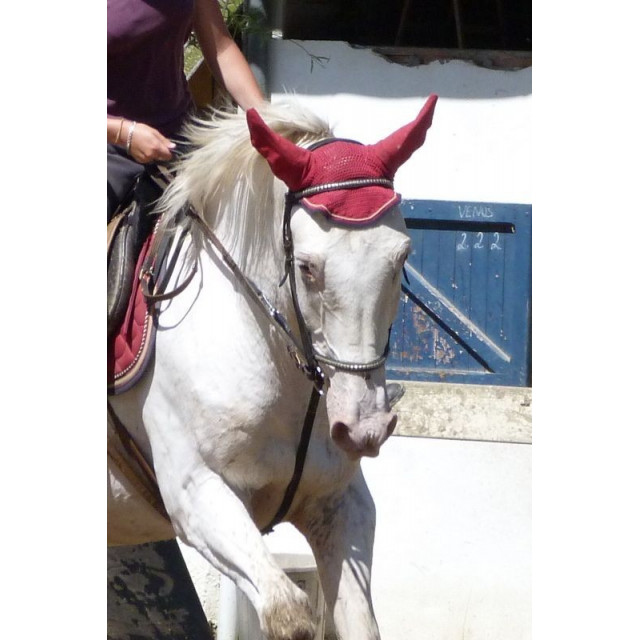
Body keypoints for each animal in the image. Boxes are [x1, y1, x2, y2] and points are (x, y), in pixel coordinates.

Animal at [107, 95, 438, 640]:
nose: (365, 428)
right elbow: (288, 612)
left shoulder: (339, 502)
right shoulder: (196, 497)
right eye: (307, 267)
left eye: (402, 256)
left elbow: (359, 622)